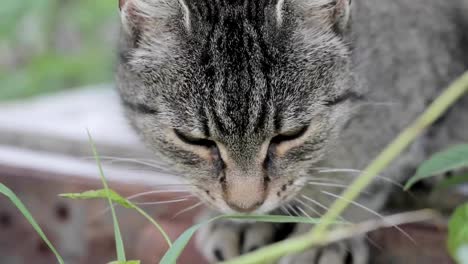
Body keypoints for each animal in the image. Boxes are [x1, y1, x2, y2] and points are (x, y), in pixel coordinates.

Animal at [116, 0, 468, 262]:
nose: (246, 207)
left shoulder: (399, 107)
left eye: (292, 134)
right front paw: (242, 222)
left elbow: (359, 172)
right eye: (192, 140)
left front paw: (322, 234)